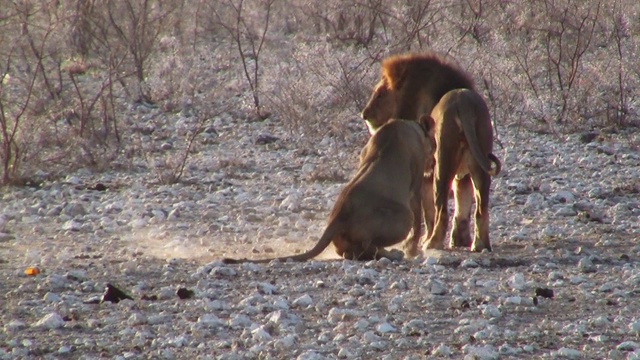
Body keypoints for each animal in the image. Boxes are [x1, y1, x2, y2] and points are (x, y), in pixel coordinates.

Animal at [222, 116, 438, 262]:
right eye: (434, 146)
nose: (434, 163)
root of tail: (338, 215)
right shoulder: (416, 182)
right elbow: (418, 217)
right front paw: (413, 250)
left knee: (349, 252)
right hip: (403, 215)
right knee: (368, 245)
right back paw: (392, 254)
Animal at [360, 51, 500, 253]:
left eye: (379, 95)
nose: (364, 114)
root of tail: (464, 103)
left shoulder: (424, 174)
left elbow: (426, 212)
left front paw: (414, 242)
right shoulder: (461, 176)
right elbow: (461, 207)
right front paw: (459, 241)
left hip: (442, 166)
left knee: (442, 210)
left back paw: (432, 243)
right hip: (479, 164)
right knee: (481, 208)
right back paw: (480, 245)